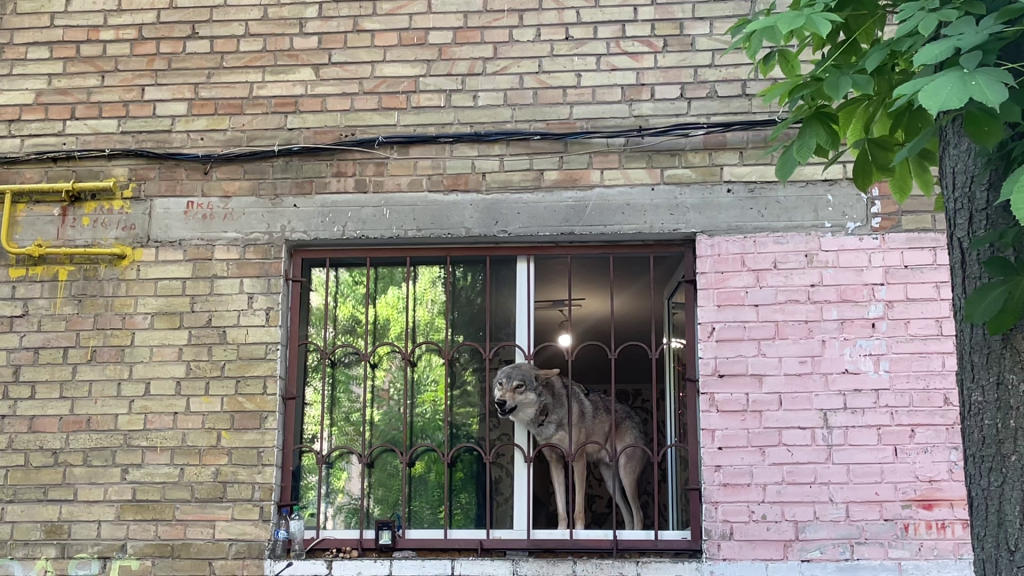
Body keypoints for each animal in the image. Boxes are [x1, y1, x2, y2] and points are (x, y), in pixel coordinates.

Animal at [493, 362, 645, 531]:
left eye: (519, 386)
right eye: (500, 384)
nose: (499, 402)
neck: (547, 413)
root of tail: (636, 416)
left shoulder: (578, 460)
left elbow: (578, 509)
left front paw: (578, 531)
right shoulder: (555, 463)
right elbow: (561, 509)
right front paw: (561, 531)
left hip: (626, 475)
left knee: (639, 514)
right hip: (611, 484)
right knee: (629, 515)